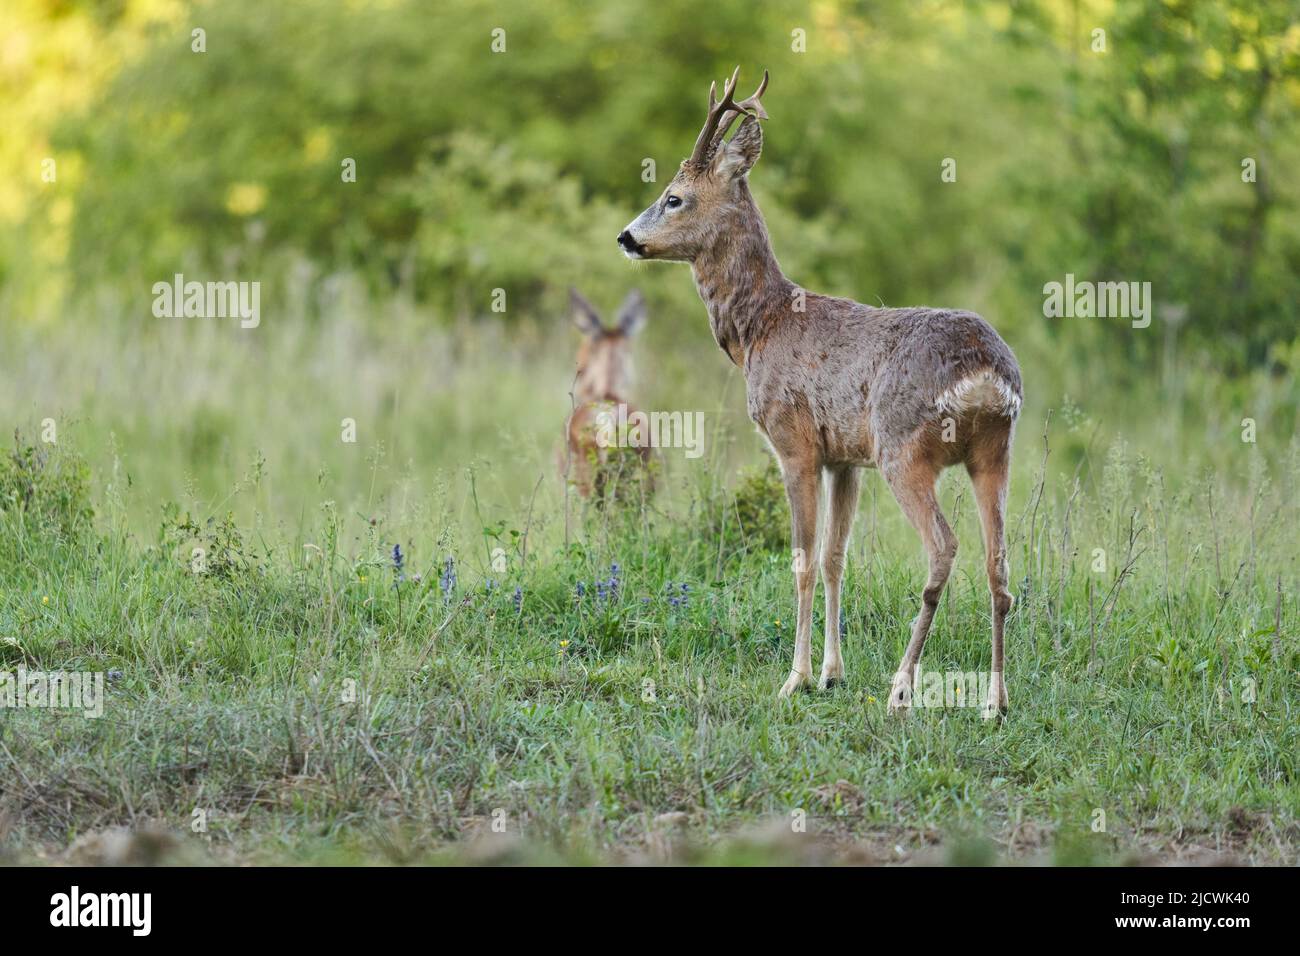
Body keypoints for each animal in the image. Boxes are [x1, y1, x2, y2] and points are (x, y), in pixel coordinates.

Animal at [616, 69, 1022, 718]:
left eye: (674, 197)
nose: (627, 237)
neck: (761, 327)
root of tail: (985, 370)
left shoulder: (796, 444)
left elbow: (803, 561)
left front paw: (796, 677)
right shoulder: (844, 459)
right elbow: (836, 558)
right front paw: (832, 672)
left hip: (903, 449)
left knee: (944, 548)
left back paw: (901, 688)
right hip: (994, 452)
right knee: (999, 565)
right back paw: (994, 701)